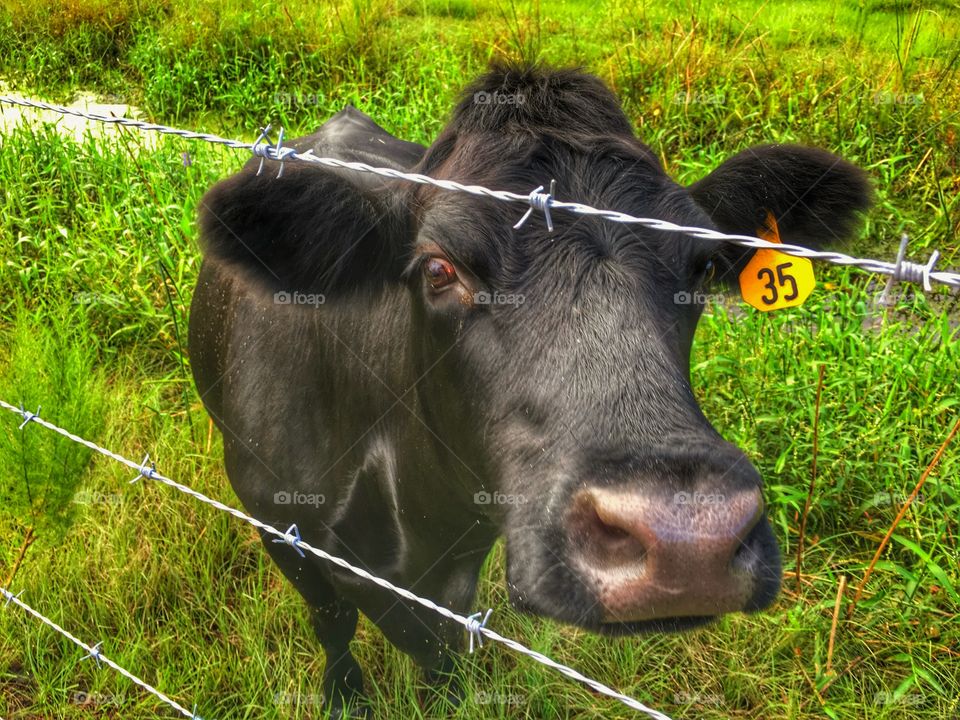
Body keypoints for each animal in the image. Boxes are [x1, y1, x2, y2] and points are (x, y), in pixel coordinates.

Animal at [188, 64, 872, 716]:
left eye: (702, 266)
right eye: (439, 268)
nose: (689, 541)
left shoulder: (464, 549)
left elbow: (440, 644)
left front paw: (446, 698)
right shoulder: (278, 525)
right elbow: (335, 620)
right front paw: (343, 694)